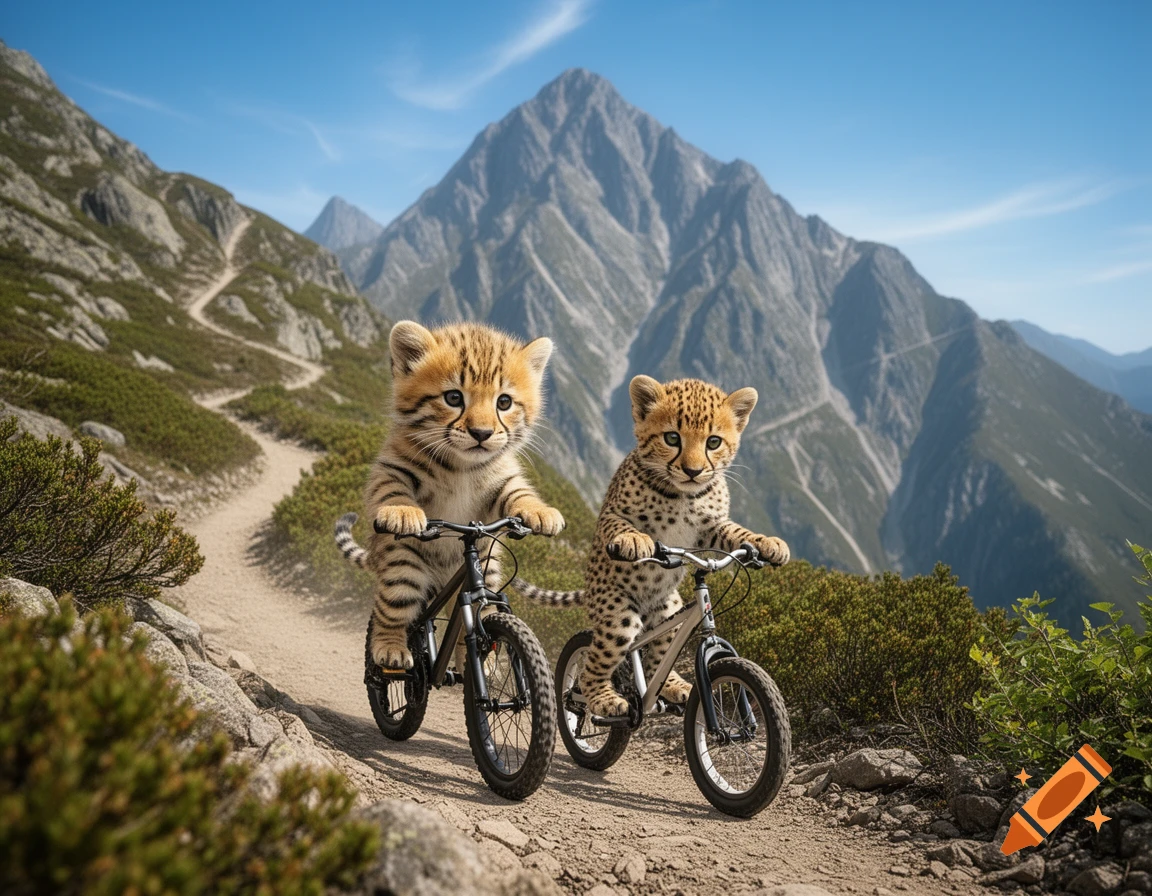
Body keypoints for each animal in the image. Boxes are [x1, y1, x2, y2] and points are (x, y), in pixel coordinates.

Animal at [334, 320, 565, 671]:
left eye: (504, 402)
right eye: (454, 397)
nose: (482, 433)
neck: (461, 467)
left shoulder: (502, 480)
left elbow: (519, 492)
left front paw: (541, 512)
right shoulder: (393, 466)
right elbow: (392, 489)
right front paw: (402, 512)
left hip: (489, 568)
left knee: (477, 620)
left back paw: (482, 662)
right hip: (404, 564)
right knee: (393, 608)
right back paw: (390, 650)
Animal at [513, 375, 789, 718]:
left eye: (713, 442)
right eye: (672, 438)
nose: (693, 471)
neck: (684, 496)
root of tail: (588, 590)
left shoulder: (710, 530)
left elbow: (738, 532)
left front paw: (768, 544)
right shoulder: (613, 514)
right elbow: (620, 527)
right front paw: (635, 541)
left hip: (667, 611)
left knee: (659, 653)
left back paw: (674, 685)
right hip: (617, 616)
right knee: (592, 666)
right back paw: (602, 699)